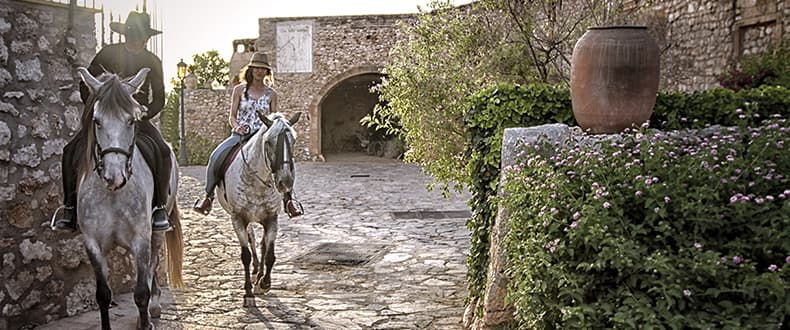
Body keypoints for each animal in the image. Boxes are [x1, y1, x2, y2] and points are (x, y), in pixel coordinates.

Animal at [73, 68, 186, 328]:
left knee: (153, 265)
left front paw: (146, 321)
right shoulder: (92, 244)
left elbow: (141, 292)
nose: (114, 176)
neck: (113, 195)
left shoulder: (141, 239)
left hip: (156, 231)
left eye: (131, 120)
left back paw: (155, 305)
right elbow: (103, 295)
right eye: (97, 121)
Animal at [217, 111, 300, 306]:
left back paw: (259, 275)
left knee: (261, 244)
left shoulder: (271, 219)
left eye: (293, 141)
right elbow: (246, 255)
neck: (258, 183)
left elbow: (270, 255)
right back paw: (255, 273)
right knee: (252, 240)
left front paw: (264, 283)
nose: (285, 182)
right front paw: (248, 292)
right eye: (269, 142)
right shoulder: (238, 219)